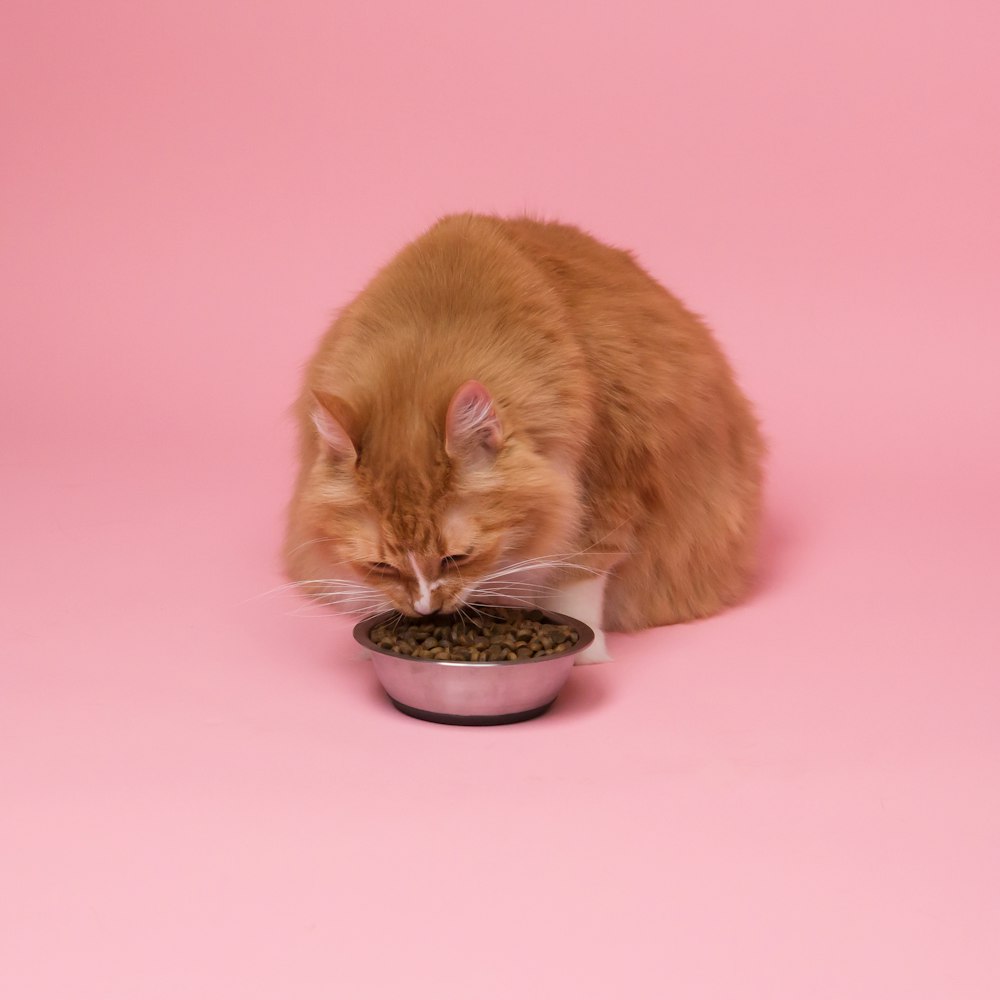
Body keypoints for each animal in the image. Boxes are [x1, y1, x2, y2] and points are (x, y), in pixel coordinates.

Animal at [284, 215, 764, 660]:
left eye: (457, 558)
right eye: (381, 565)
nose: (426, 608)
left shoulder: (603, 493)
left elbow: (578, 582)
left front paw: (586, 657)